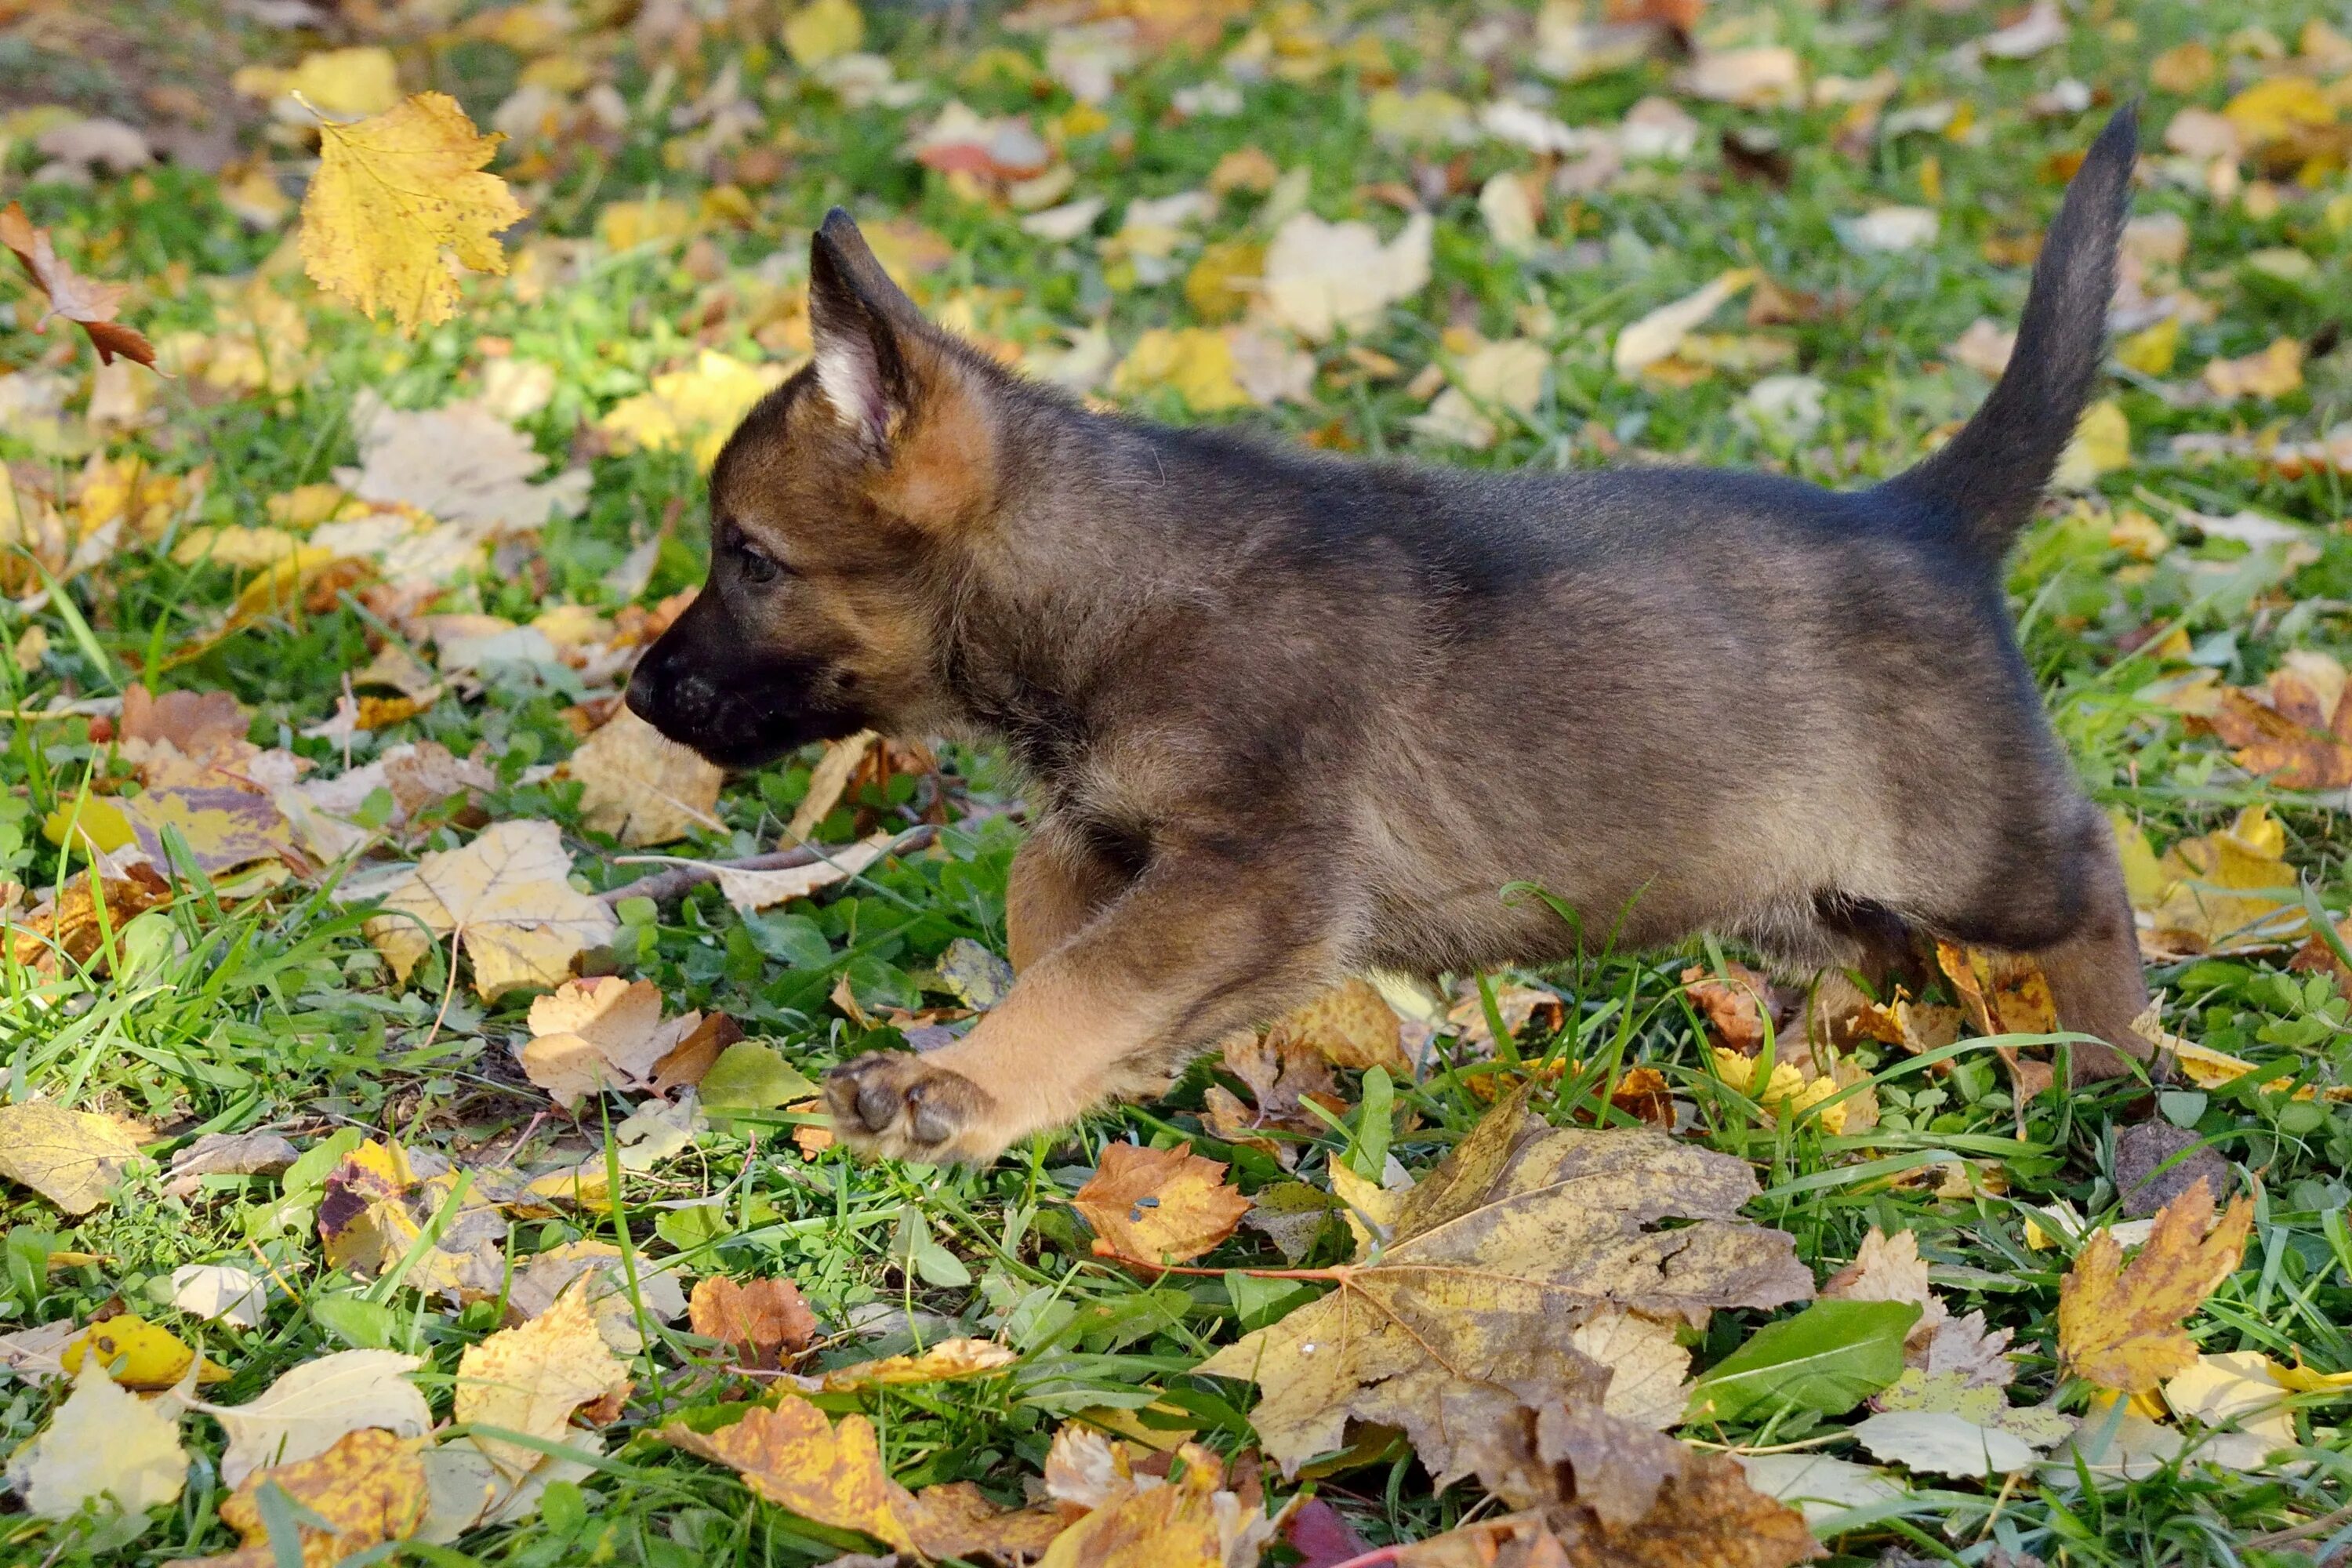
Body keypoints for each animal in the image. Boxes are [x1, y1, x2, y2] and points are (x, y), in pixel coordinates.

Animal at [626, 110, 2154, 1166]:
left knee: (2088, 876)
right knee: (1880, 960)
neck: (1108, 575)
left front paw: (963, 1083)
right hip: (1807, 883)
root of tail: (1927, 514)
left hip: (1971, 846)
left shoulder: (1259, 872)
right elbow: (1051, 922)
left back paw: (2114, 1067)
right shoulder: (1119, 834)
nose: (637, 692)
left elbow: (1091, 971)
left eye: (749, 559)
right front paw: (1056, 1083)